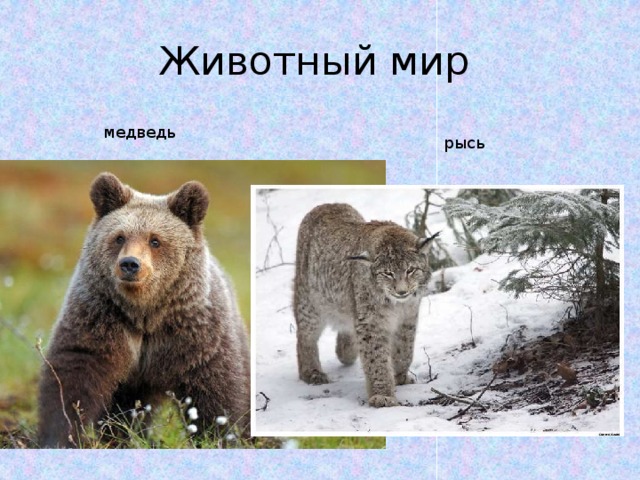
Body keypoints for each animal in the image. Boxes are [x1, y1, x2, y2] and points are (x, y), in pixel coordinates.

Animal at [37, 172, 250, 448]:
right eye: (119, 237)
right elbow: (74, 373)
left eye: (155, 240)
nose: (130, 264)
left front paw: (216, 436)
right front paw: (60, 435)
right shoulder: (99, 318)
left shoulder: (194, 332)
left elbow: (213, 387)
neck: (145, 313)